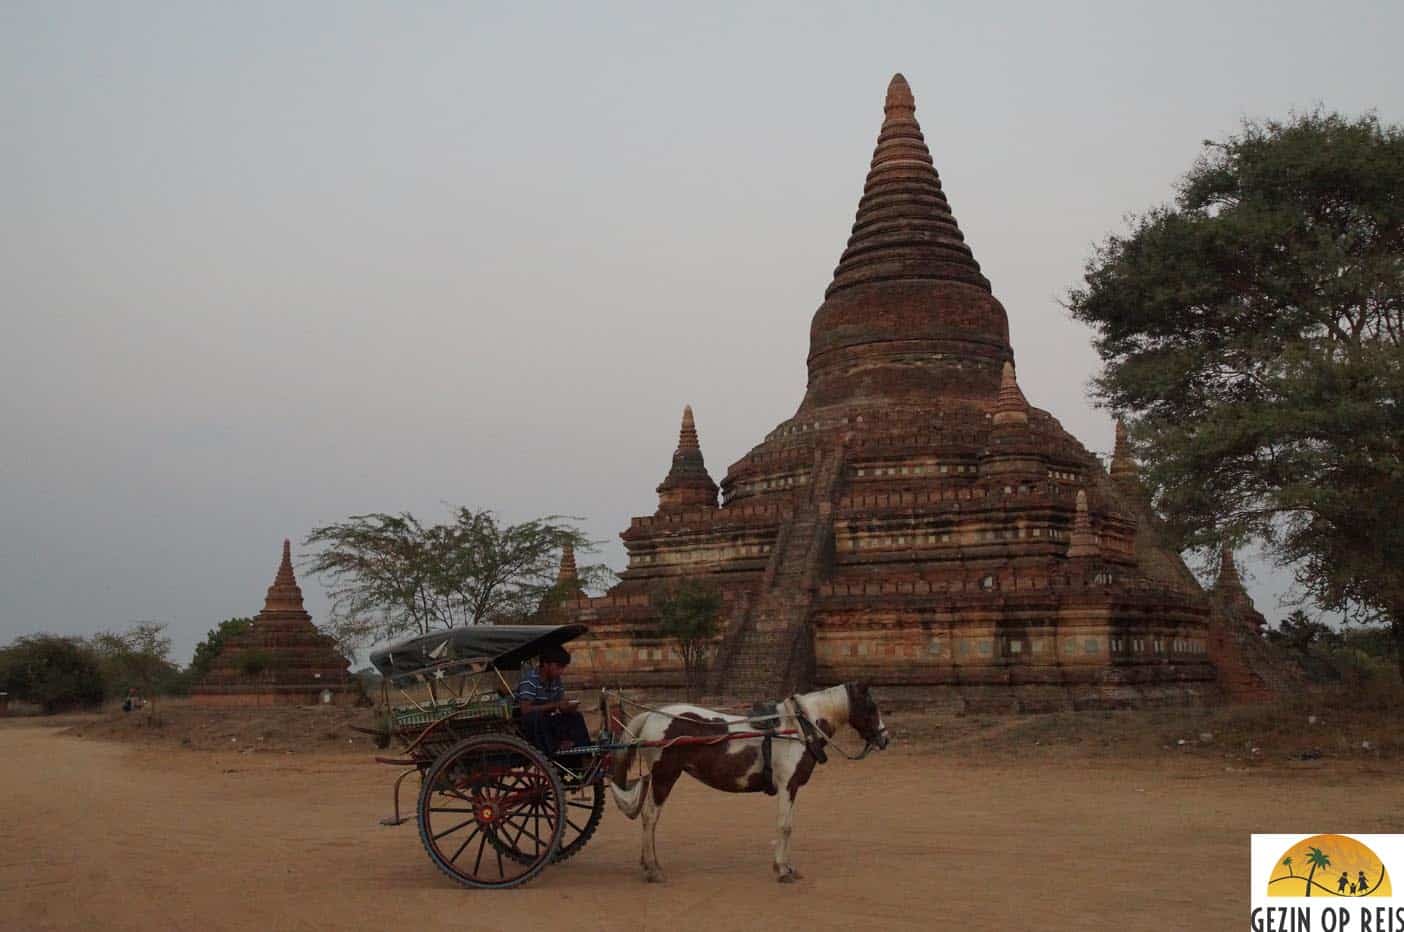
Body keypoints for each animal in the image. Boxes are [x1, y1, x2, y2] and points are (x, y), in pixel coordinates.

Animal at [603, 682, 887, 887]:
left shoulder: (793, 787)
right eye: (871, 707)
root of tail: (651, 717)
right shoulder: (787, 785)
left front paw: (788, 866)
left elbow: (789, 826)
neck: (797, 728)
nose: (885, 738)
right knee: (650, 816)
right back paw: (653, 868)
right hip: (665, 776)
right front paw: (782, 870)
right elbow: (785, 826)